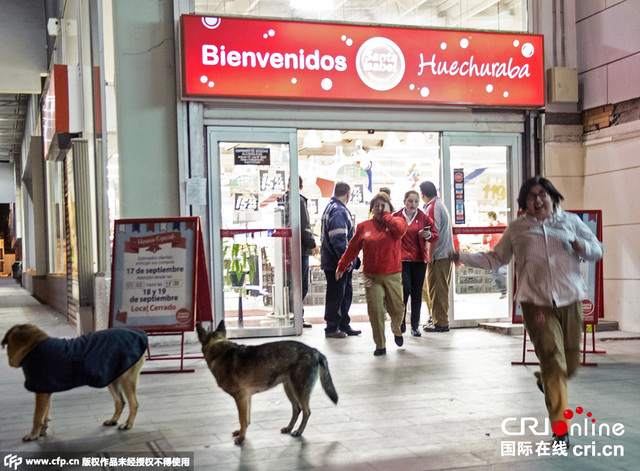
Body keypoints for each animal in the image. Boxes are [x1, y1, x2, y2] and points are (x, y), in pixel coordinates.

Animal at [196, 318, 338, 444]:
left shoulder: (241, 398)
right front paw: (242, 432)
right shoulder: (246, 398)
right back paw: (289, 427)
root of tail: (314, 351)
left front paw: (241, 437)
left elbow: (242, 419)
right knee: (297, 409)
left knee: (306, 412)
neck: (218, 347)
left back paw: (299, 431)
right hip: (289, 389)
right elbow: (246, 419)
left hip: (299, 390)